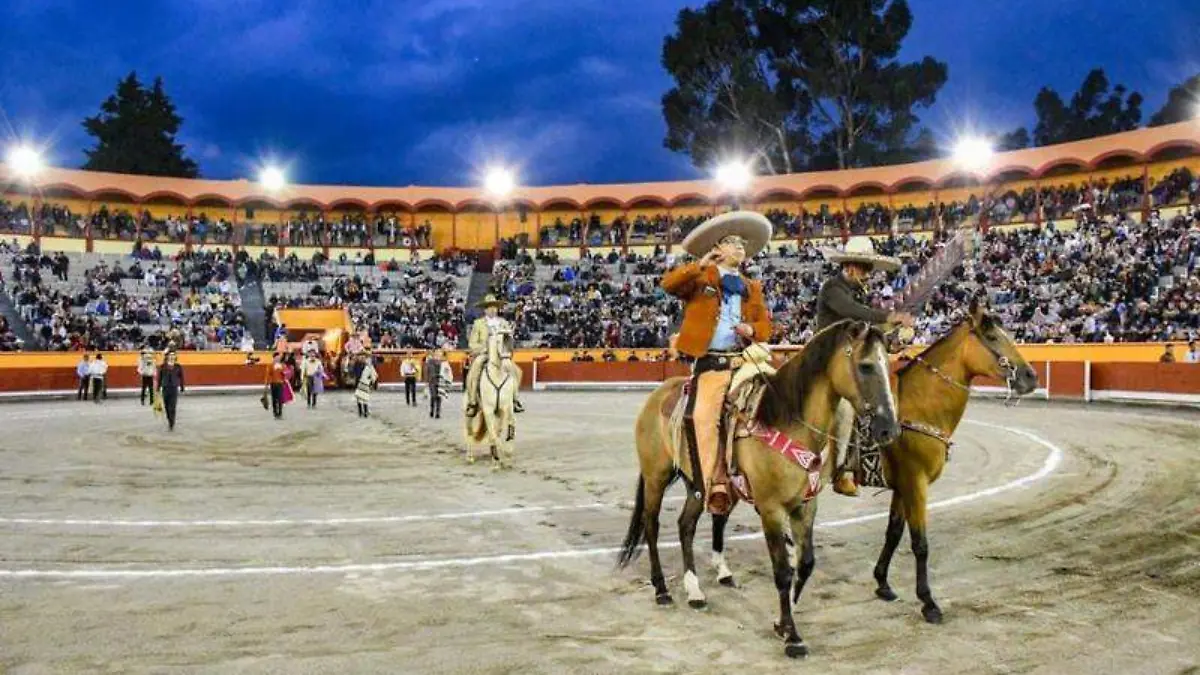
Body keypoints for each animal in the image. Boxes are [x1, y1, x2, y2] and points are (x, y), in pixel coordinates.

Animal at [460, 326, 518, 466]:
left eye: (512, 340)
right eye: (498, 341)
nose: (507, 363)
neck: (497, 375)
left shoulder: (505, 408)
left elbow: (503, 429)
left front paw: (504, 454)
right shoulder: (488, 410)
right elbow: (492, 434)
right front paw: (496, 461)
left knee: (496, 431)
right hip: (469, 413)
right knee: (469, 432)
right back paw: (470, 457)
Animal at [619, 319, 902, 658]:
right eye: (866, 365)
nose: (889, 429)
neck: (786, 420)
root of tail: (658, 394)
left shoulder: (805, 505)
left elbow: (805, 563)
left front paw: (783, 621)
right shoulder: (771, 509)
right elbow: (782, 570)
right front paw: (792, 635)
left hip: (698, 482)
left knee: (686, 525)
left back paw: (695, 590)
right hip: (656, 477)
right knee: (651, 524)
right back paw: (661, 588)